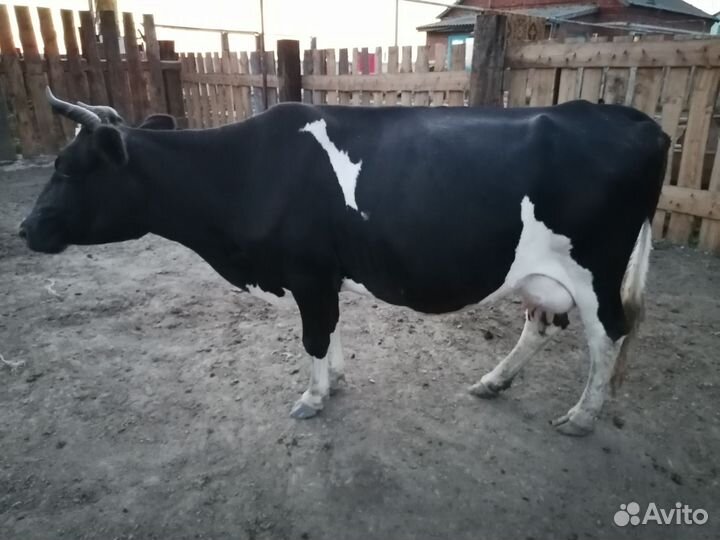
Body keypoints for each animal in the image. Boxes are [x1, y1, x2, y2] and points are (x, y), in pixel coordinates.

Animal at [19, 88, 669, 436]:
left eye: (68, 170)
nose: (25, 229)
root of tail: (631, 116)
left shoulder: (307, 271)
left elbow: (312, 337)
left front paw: (313, 398)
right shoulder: (323, 277)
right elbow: (328, 332)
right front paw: (335, 378)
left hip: (597, 267)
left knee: (609, 334)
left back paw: (582, 415)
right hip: (542, 272)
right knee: (541, 322)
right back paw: (494, 381)